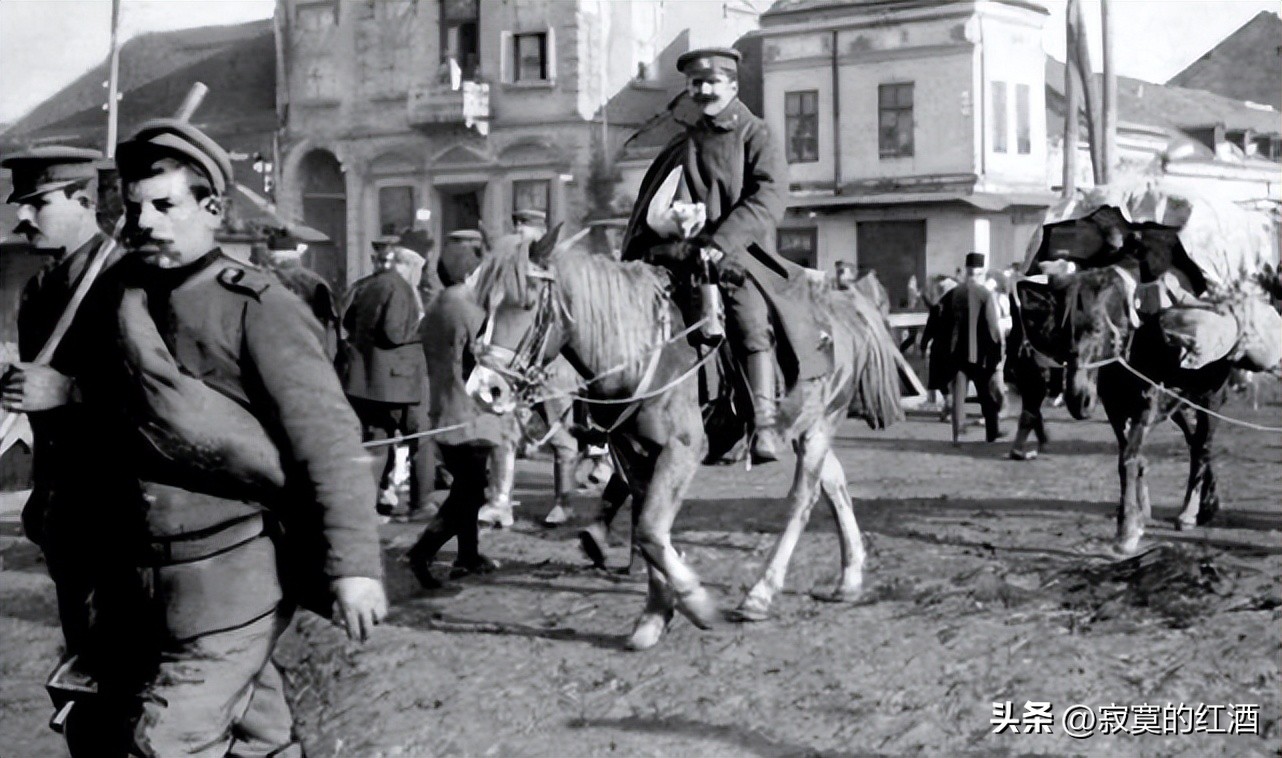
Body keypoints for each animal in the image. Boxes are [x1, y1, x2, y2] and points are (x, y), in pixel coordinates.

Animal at [469, 233, 902, 651]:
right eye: (483, 304)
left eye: (526, 304)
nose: (484, 389)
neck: (643, 351)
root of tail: (846, 308)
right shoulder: (634, 455)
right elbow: (648, 531)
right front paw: (656, 613)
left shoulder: (682, 450)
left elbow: (649, 530)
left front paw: (695, 602)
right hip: (807, 424)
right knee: (834, 484)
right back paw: (849, 579)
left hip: (819, 426)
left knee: (801, 501)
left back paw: (761, 593)